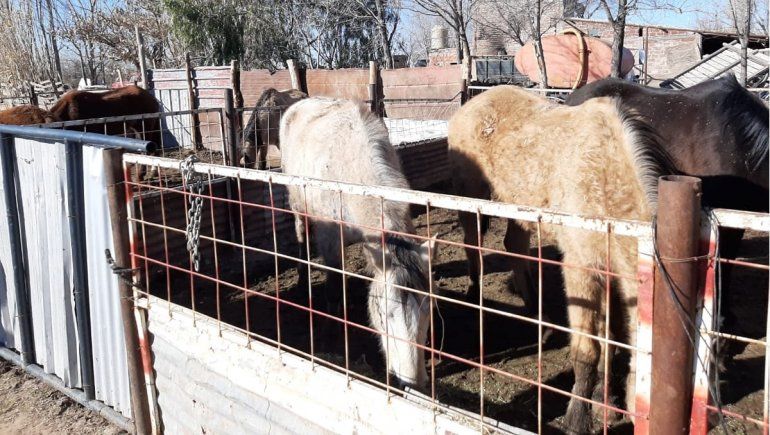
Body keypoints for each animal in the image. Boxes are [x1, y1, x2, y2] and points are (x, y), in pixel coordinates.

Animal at [280, 97, 435, 388]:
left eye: (428, 312)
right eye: (385, 315)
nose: (413, 382)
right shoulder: (330, 241)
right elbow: (333, 288)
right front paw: (330, 333)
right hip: (297, 206)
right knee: (301, 236)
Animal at [448, 85, 678, 433]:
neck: (605, 177)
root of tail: (471, 104)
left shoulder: (609, 271)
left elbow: (611, 340)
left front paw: (606, 404)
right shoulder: (581, 268)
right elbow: (587, 351)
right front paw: (577, 418)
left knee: (514, 247)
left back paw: (536, 313)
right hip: (471, 199)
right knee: (473, 246)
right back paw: (475, 297)